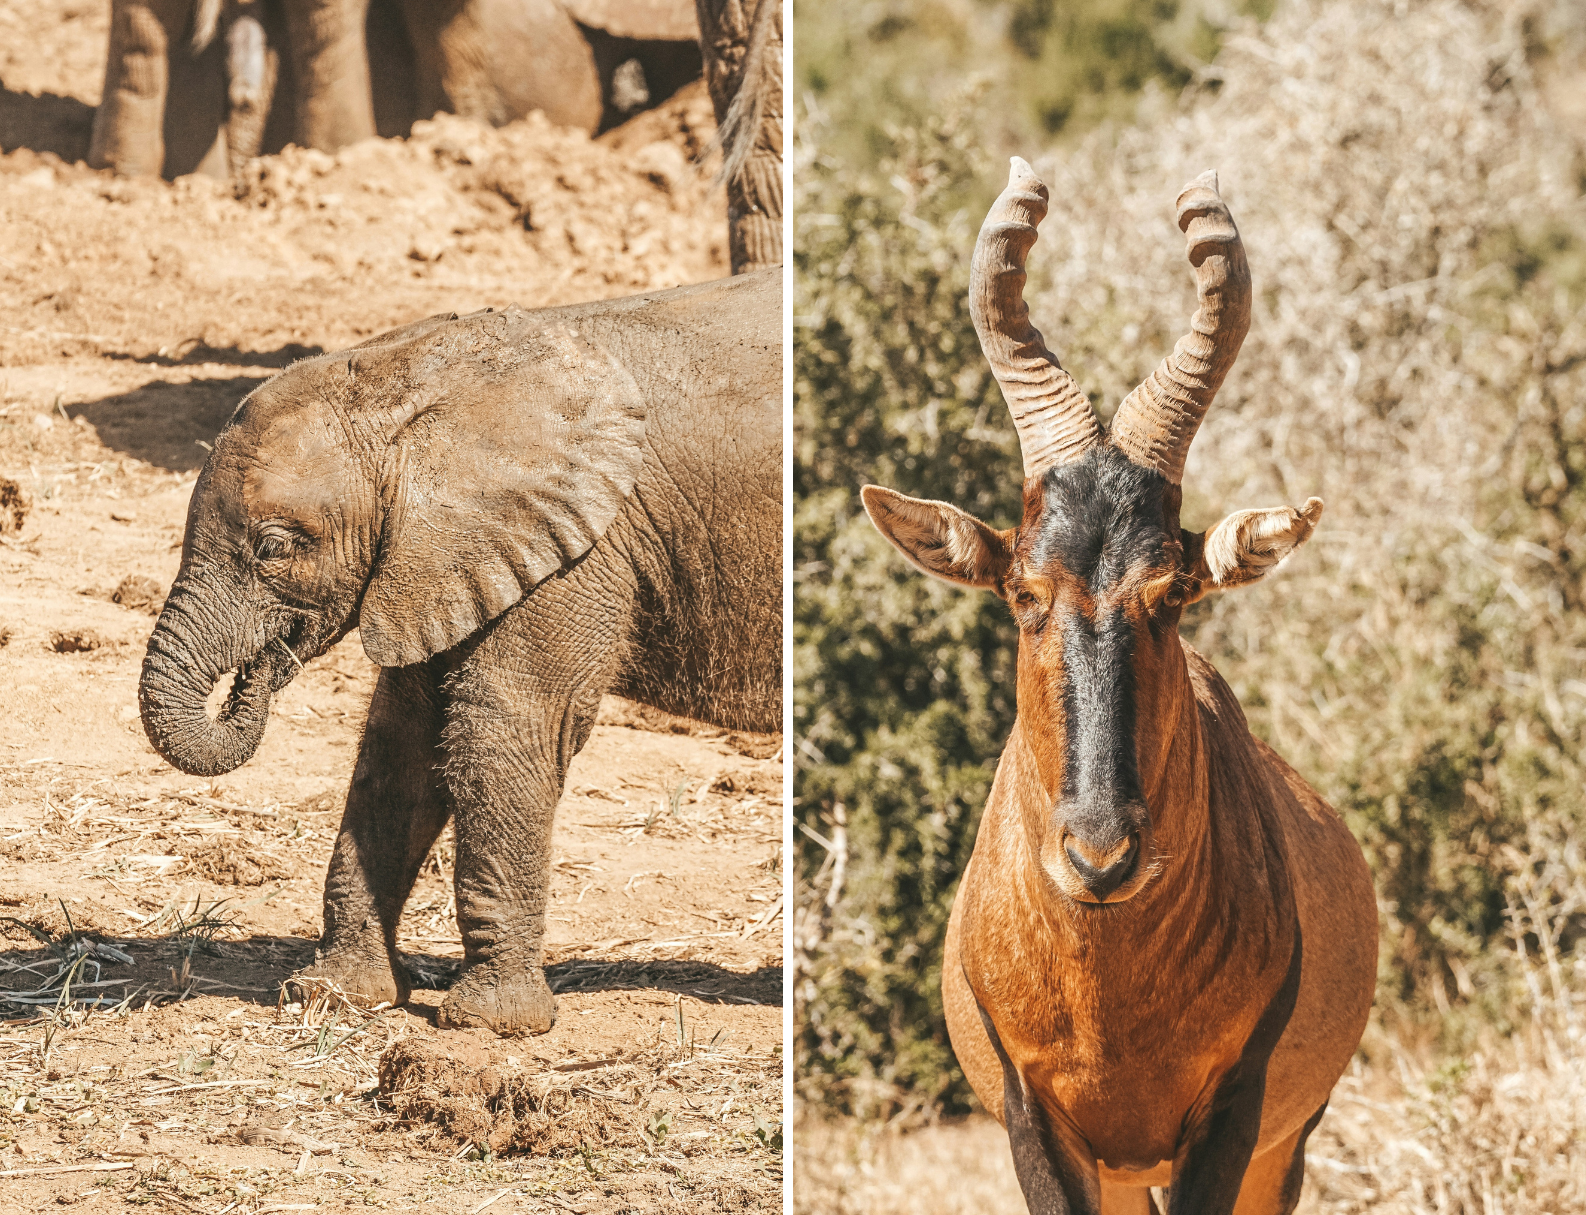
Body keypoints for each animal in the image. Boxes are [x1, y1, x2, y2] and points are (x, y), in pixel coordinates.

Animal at [136, 268, 781, 1034]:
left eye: (273, 548)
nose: (250, 678)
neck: (415, 377)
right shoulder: (441, 554)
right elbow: (402, 740)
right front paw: (333, 996)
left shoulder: (579, 545)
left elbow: (500, 726)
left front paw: (489, 1024)